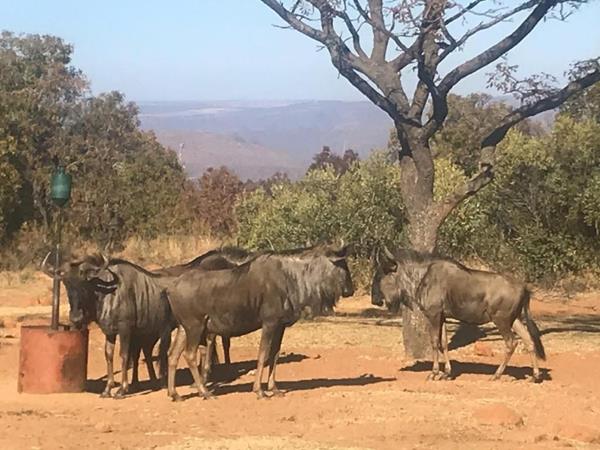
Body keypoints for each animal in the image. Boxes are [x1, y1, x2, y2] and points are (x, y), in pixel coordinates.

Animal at [165, 243, 354, 401]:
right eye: (343, 265)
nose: (350, 290)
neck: (290, 277)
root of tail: (171, 287)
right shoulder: (269, 323)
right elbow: (262, 355)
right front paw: (259, 391)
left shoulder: (280, 326)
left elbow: (274, 355)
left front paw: (274, 388)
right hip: (195, 327)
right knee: (189, 355)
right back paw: (204, 392)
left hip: (184, 329)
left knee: (172, 355)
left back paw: (174, 393)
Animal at [371, 247, 546, 382]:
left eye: (379, 276)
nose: (374, 299)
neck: (422, 277)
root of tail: (524, 288)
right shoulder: (442, 316)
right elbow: (444, 343)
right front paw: (447, 373)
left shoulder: (433, 315)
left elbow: (434, 342)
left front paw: (434, 373)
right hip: (514, 320)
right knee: (529, 340)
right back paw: (534, 376)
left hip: (501, 320)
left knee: (511, 343)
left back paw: (497, 375)